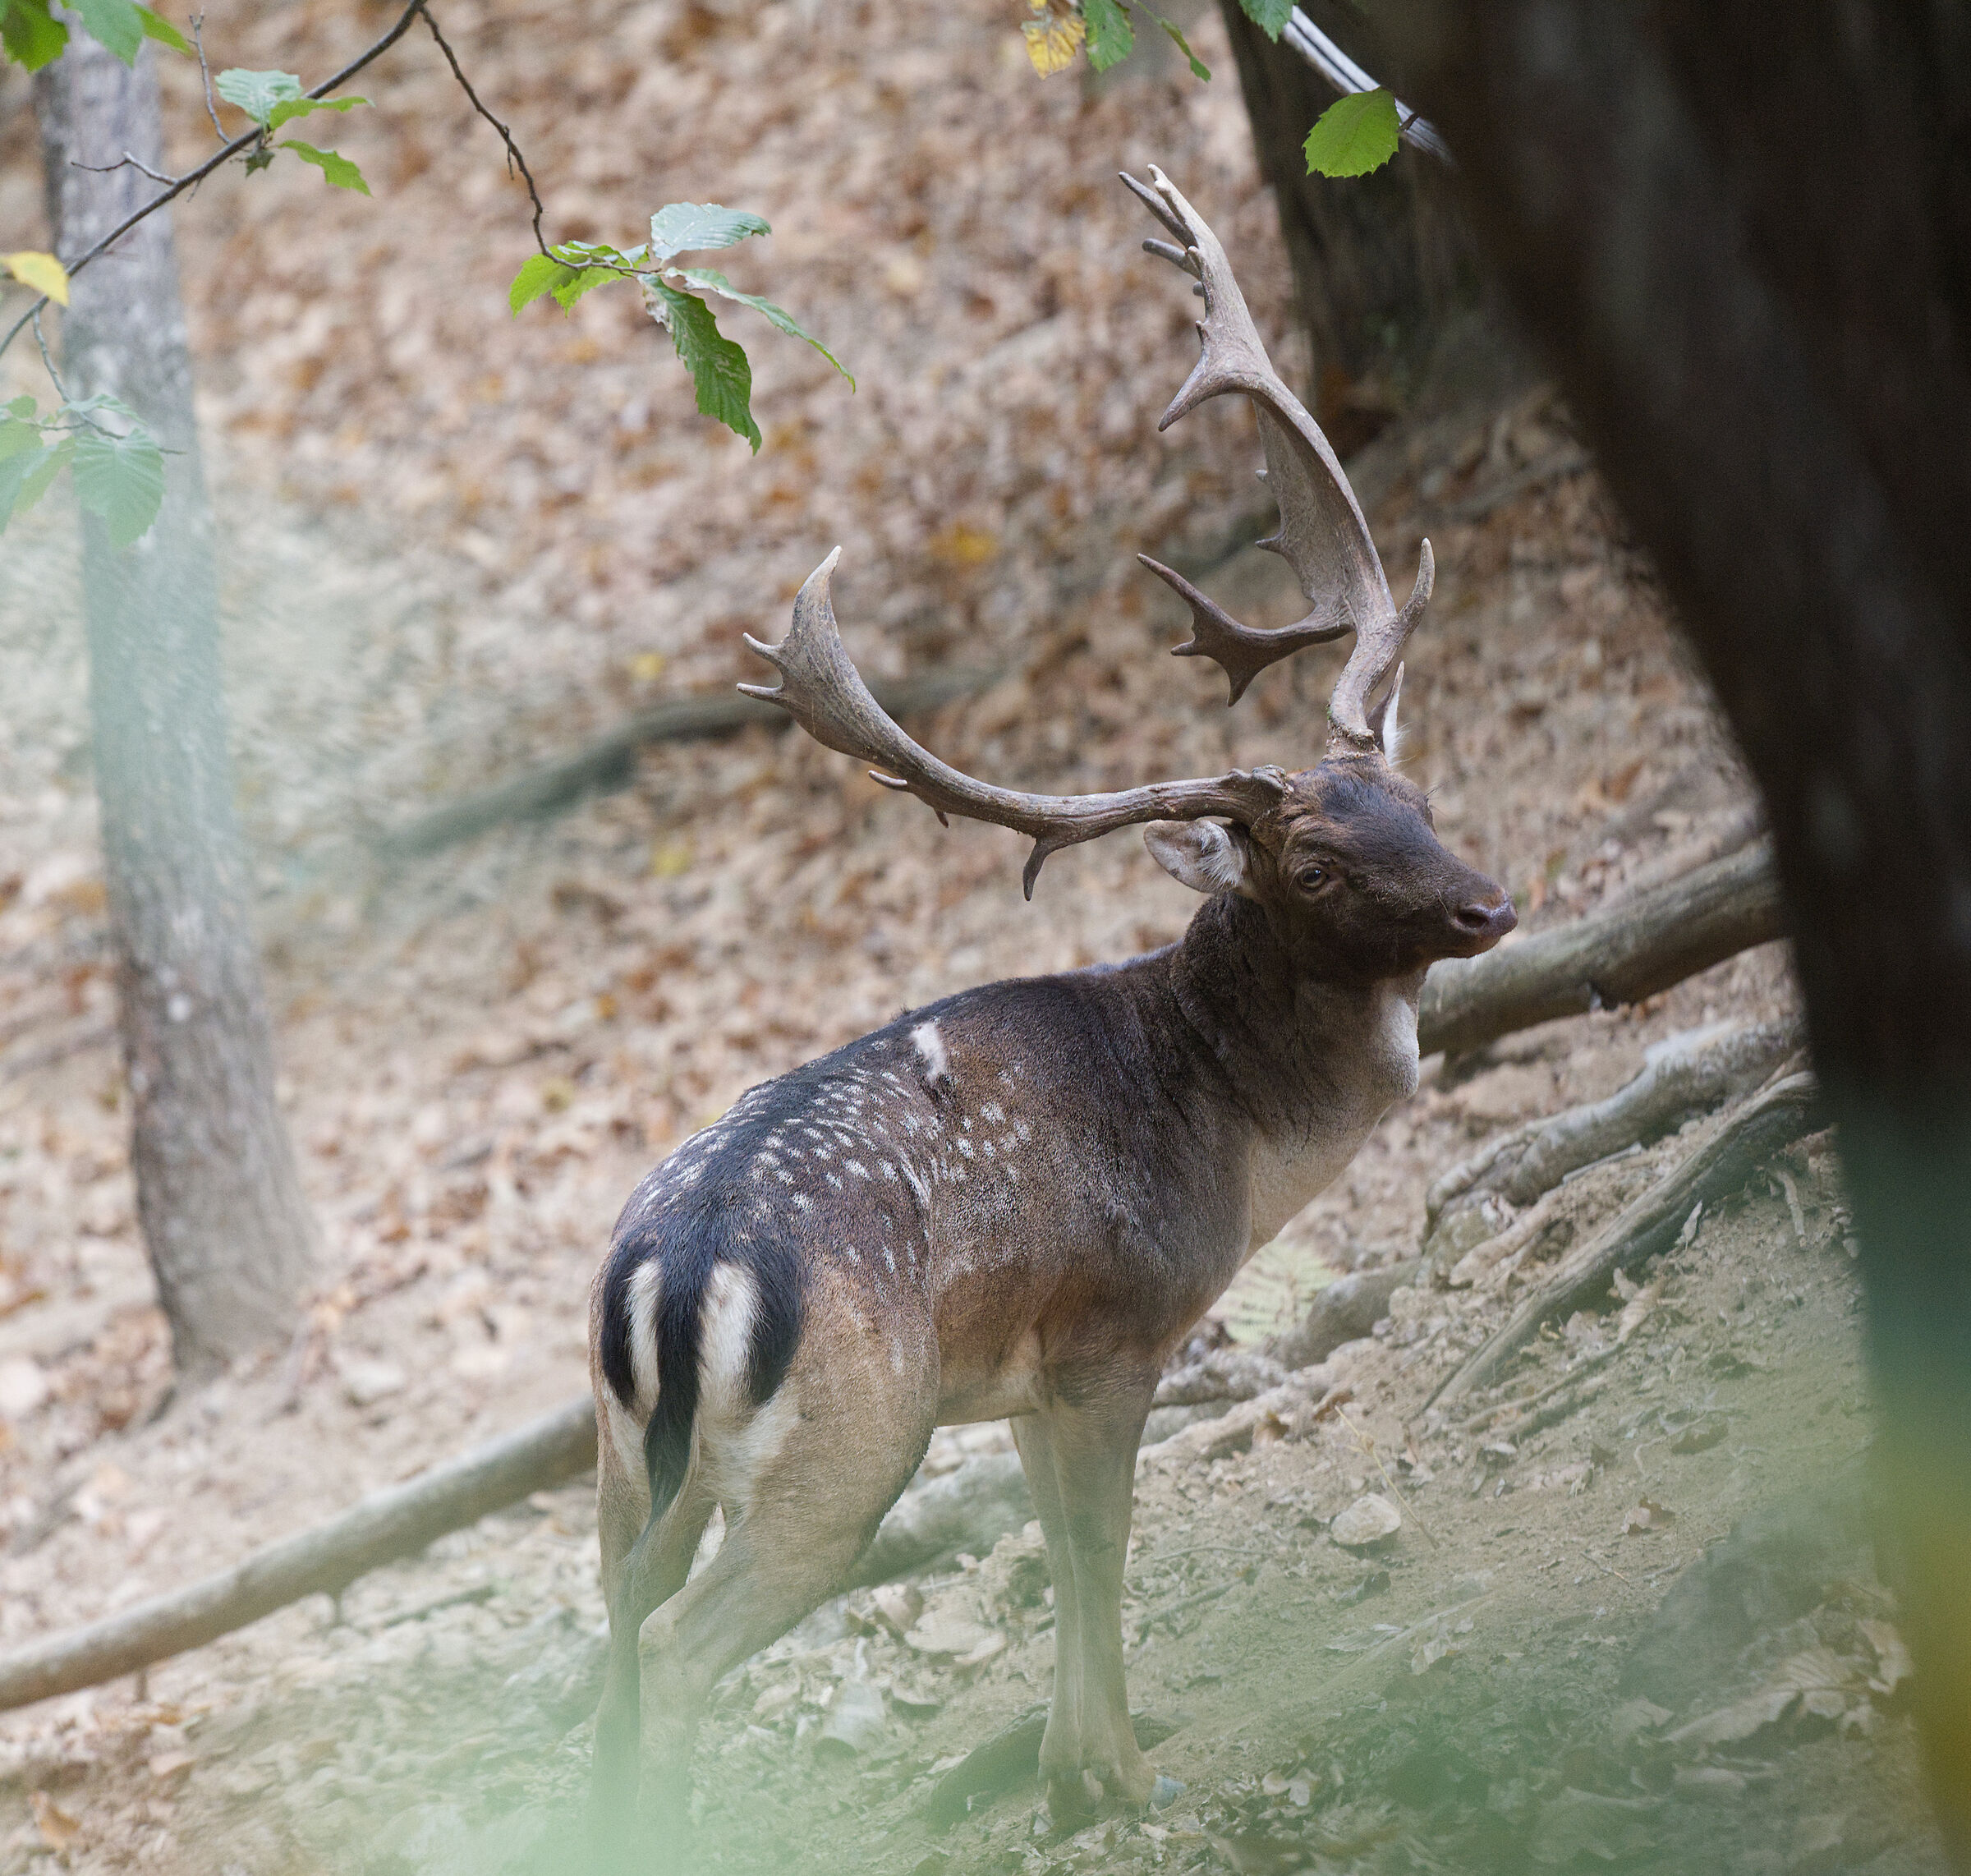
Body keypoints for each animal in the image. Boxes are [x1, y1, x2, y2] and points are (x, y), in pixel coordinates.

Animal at [587, 167, 1515, 1863]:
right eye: (1316, 858)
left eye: (1418, 795)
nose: (1492, 905)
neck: (1232, 1143)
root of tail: (669, 1273)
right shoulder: (1114, 1327)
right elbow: (1100, 1545)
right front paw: (1120, 1778)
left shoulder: (1019, 1376)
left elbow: (1059, 1546)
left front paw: (1077, 1766)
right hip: (847, 1445)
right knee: (681, 1650)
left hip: (621, 1461)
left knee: (610, 1636)